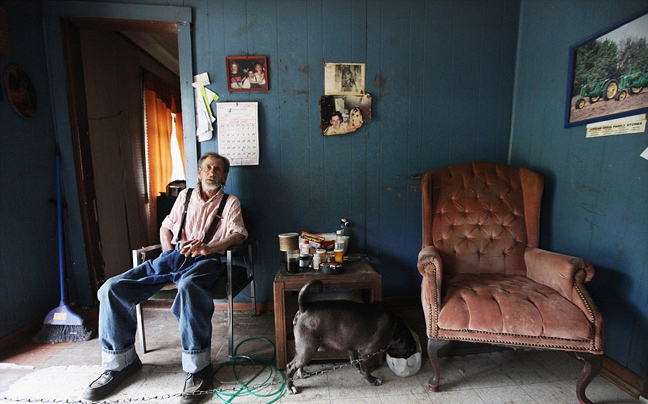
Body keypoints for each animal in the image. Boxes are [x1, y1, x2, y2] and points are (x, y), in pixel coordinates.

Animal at [286, 280, 417, 394]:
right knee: (290, 366)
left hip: (305, 349)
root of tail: (304, 307)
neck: (396, 329)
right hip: (308, 349)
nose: (413, 353)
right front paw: (372, 380)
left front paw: (360, 371)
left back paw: (301, 373)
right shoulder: (366, 353)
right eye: (410, 348)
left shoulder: (352, 348)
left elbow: (355, 362)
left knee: (298, 363)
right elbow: (366, 369)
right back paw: (290, 386)